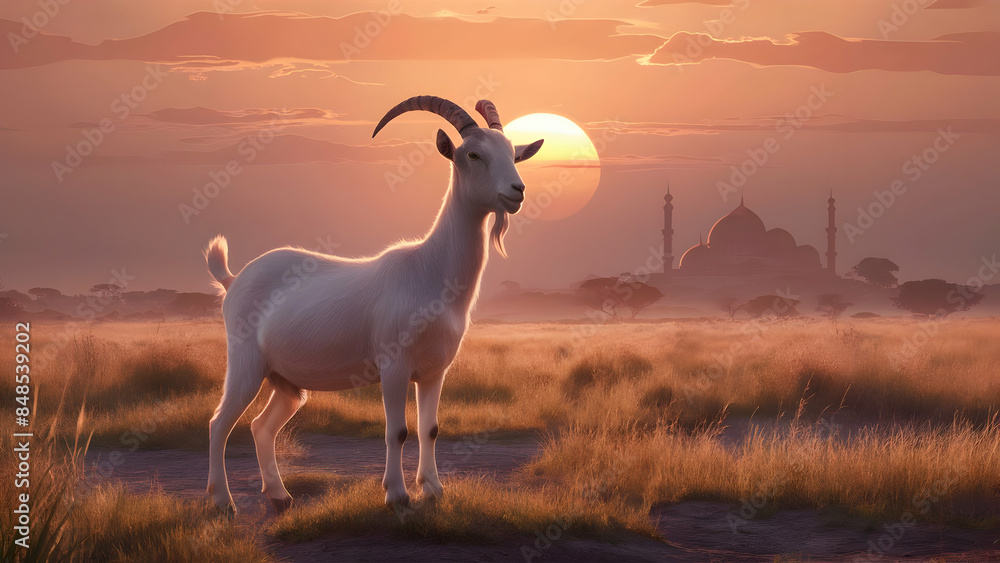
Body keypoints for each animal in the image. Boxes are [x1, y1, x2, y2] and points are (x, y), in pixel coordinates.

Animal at [204, 96, 544, 515]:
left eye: (514, 154)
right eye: (473, 154)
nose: (517, 190)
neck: (429, 270)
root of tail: (234, 279)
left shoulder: (434, 371)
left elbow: (430, 429)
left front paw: (433, 489)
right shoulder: (394, 366)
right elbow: (396, 430)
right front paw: (397, 495)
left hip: (286, 383)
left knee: (260, 426)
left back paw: (279, 495)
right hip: (245, 365)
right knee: (220, 423)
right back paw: (223, 501)